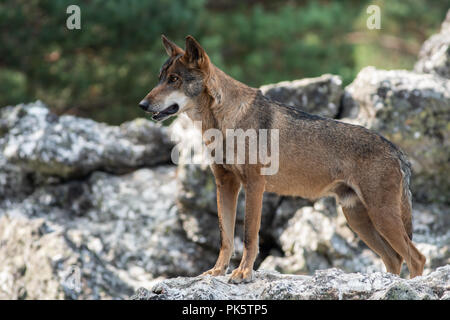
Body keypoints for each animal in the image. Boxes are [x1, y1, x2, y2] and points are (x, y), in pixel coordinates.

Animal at [140, 36, 426, 284]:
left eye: (174, 79)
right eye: (160, 78)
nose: (142, 104)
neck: (224, 122)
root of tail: (397, 151)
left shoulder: (254, 186)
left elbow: (249, 236)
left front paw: (243, 273)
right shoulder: (225, 185)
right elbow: (226, 237)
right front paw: (217, 272)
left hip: (380, 216)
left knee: (416, 257)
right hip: (358, 220)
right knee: (394, 258)